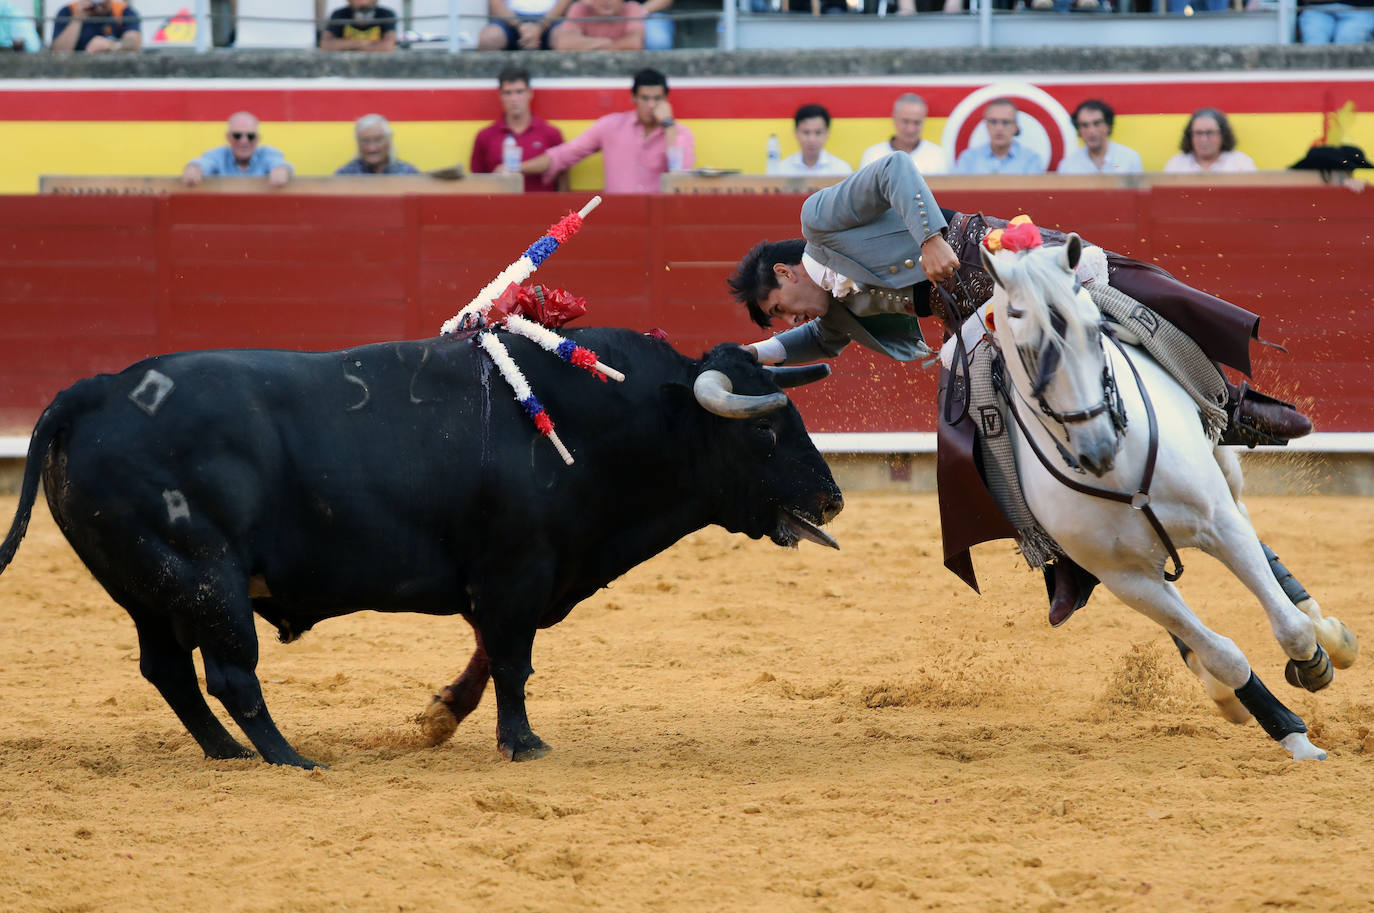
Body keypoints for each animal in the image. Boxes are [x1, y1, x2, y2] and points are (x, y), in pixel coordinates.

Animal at [0, 331, 840, 764]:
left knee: (169, 671)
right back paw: (290, 758)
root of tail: (99, 389)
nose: (831, 497)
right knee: (231, 674)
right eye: (767, 432)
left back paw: (230, 753)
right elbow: (512, 659)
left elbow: (490, 653)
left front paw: (440, 717)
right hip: (205, 577)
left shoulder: (505, 578)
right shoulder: (516, 569)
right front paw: (522, 743)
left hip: (146, 587)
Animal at [978, 232, 1352, 759]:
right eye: (1028, 350)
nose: (1097, 447)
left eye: (1095, 331)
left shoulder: (1218, 523)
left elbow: (1290, 629)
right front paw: (1289, 731)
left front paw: (1313, 666)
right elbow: (1223, 655)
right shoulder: (1126, 578)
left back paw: (1325, 630)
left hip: (1224, 474)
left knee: (1253, 532)